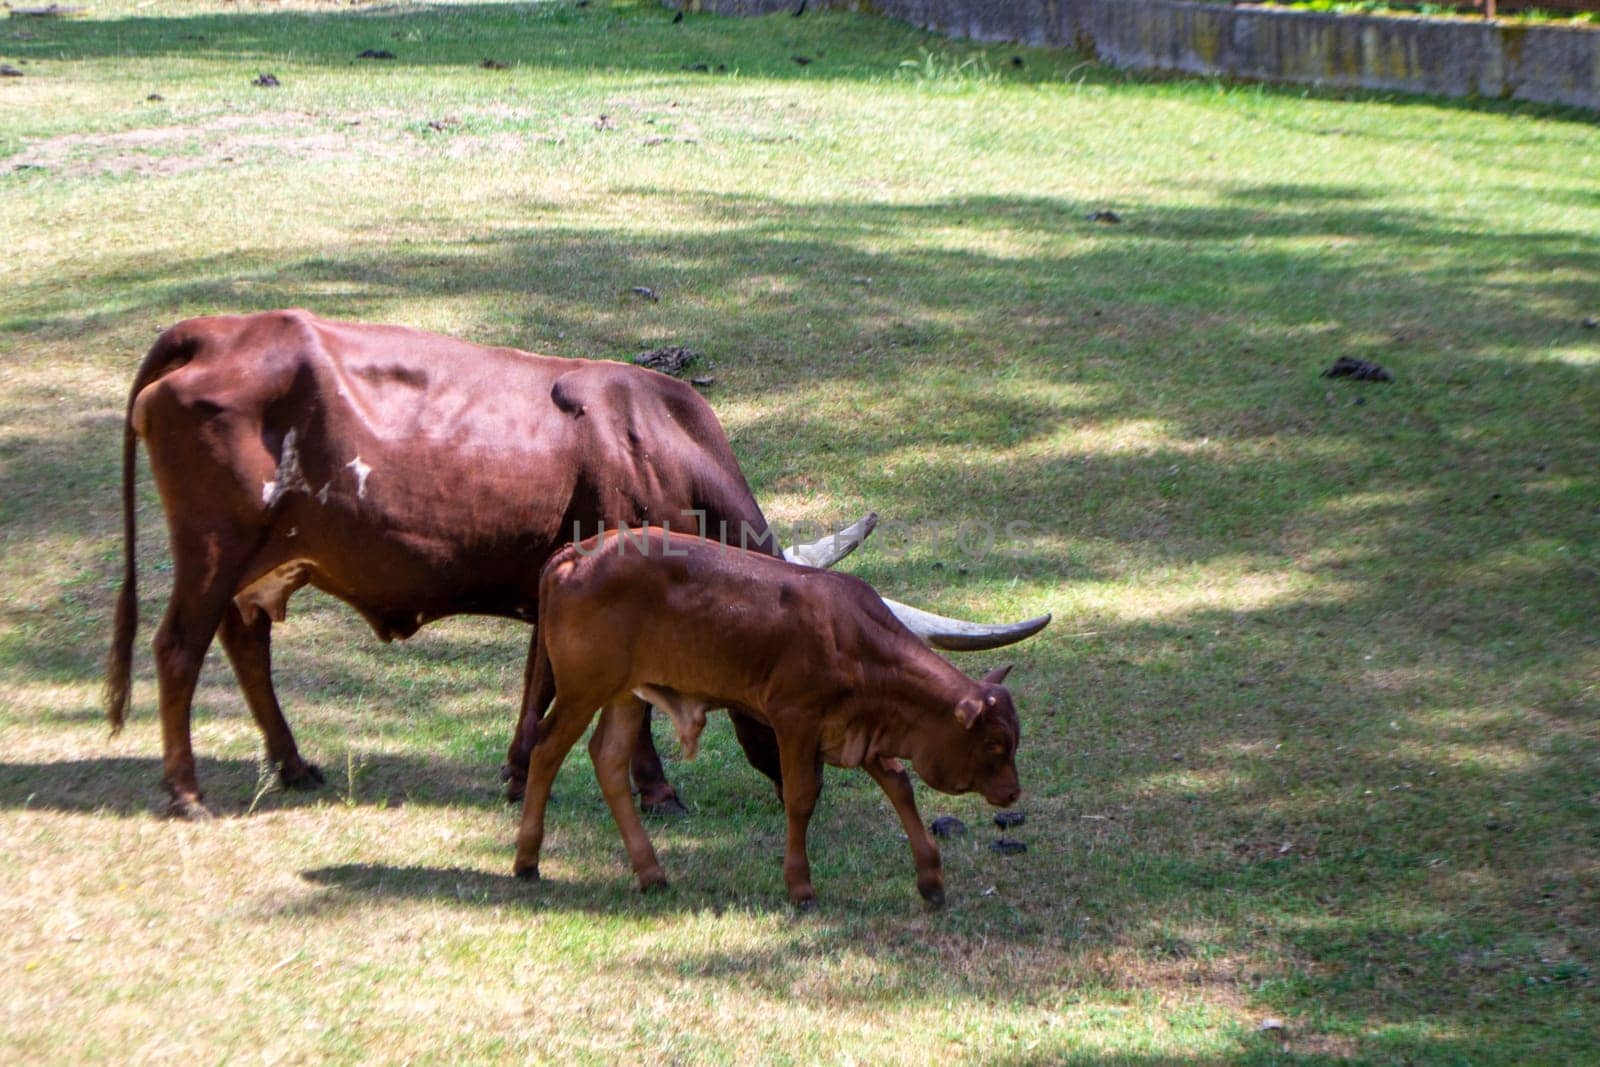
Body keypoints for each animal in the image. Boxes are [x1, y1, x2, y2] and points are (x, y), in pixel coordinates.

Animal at [103, 308, 1049, 819]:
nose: (788, 776)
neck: (655, 440)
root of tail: (213, 331)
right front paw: (655, 788)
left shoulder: (560, 583)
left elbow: (540, 677)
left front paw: (520, 765)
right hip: (215, 547)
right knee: (178, 647)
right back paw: (187, 790)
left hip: (262, 560)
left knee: (244, 643)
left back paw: (292, 763)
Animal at [508, 531, 1024, 908]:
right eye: (995, 743)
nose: (1013, 791)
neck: (857, 641)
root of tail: (575, 554)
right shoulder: (795, 718)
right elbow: (800, 798)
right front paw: (800, 886)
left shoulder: (856, 727)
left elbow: (899, 785)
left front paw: (931, 878)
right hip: (583, 689)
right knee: (547, 750)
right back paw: (527, 860)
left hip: (628, 693)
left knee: (609, 759)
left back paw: (651, 872)